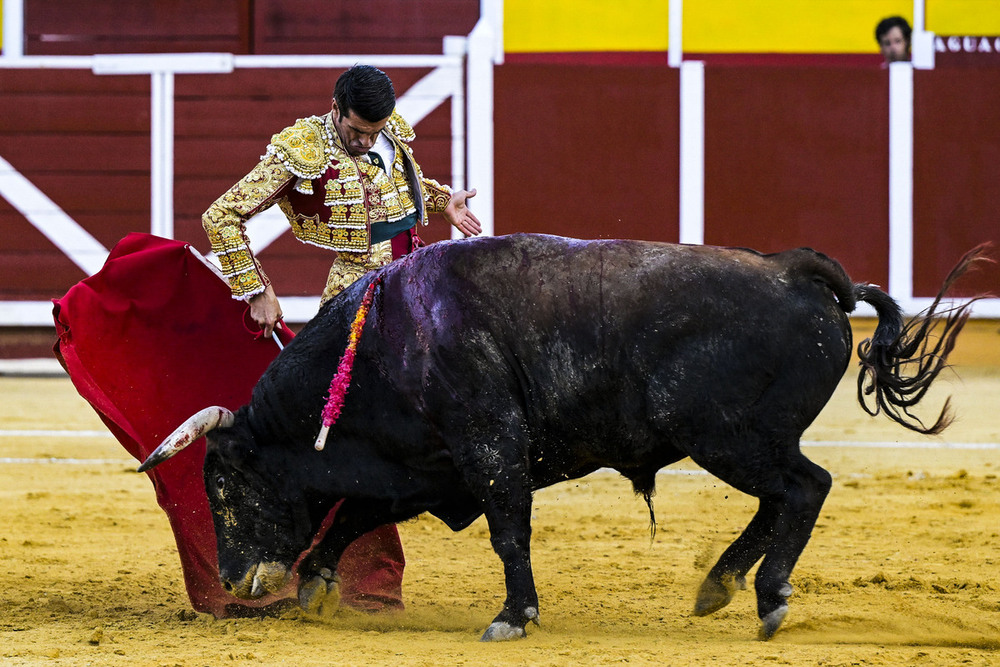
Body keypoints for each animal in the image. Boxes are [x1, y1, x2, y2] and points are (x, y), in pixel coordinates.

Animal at [137, 234, 988, 640]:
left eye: (226, 481)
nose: (237, 579)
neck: (383, 342)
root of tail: (798, 273)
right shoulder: (428, 466)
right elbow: (357, 512)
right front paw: (316, 584)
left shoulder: (489, 450)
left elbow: (508, 532)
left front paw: (513, 616)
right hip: (739, 443)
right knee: (783, 499)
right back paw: (719, 585)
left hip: (732, 439)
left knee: (805, 488)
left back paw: (768, 595)